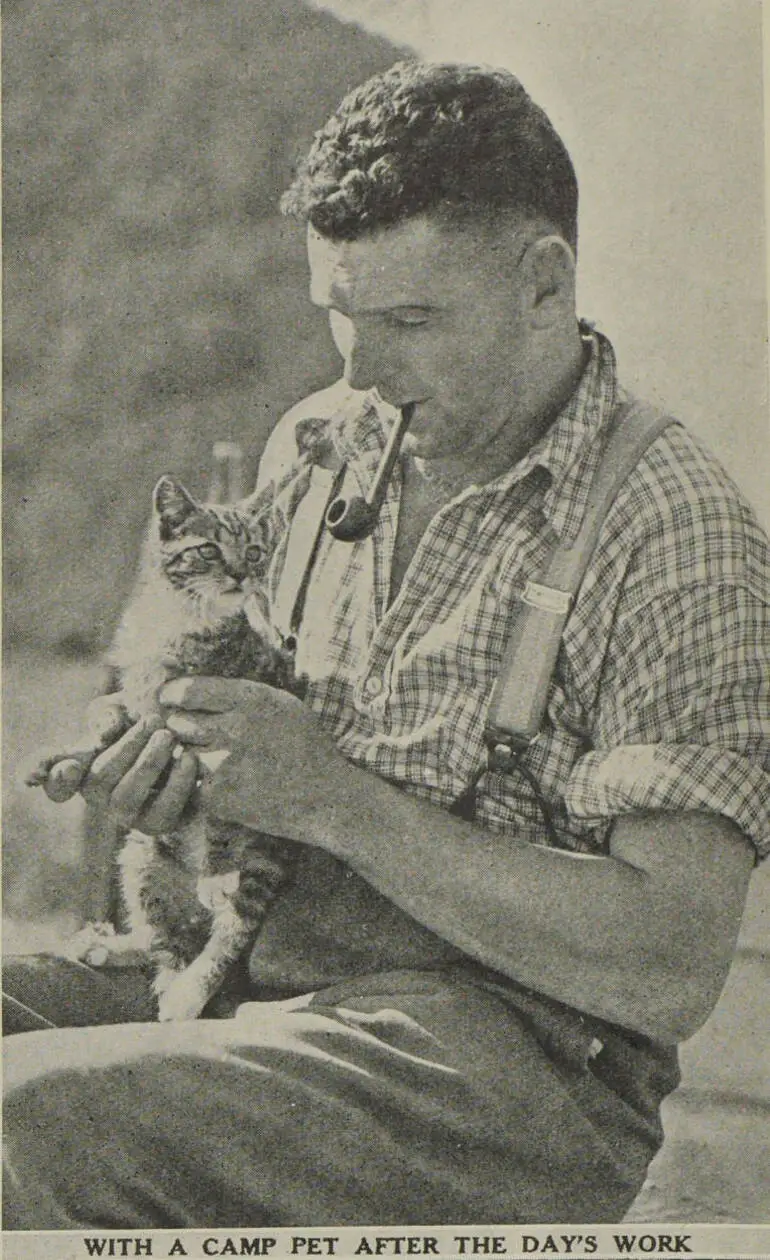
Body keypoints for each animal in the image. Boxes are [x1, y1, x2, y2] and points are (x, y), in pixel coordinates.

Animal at [27, 473, 303, 1023]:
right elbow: (107, 719)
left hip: (263, 862)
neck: (175, 619)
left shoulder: (215, 737)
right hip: (140, 858)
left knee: (226, 934)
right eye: (209, 550)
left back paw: (188, 990)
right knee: (163, 942)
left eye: (255, 552)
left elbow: (217, 796)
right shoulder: (137, 703)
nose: (241, 574)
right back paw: (114, 947)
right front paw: (65, 756)